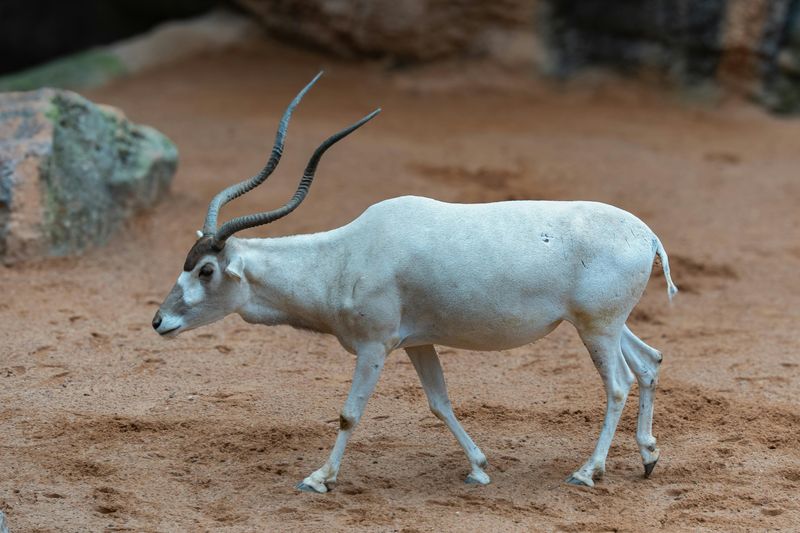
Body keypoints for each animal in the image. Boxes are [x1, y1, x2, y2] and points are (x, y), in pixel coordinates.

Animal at [152, 72, 676, 492]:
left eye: (206, 270)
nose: (159, 321)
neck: (345, 256)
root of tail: (647, 235)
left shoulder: (375, 345)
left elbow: (350, 412)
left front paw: (320, 478)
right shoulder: (418, 342)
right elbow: (440, 402)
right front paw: (479, 468)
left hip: (596, 328)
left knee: (619, 384)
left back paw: (588, 472)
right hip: (604, 323)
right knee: (649, 362)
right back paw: (648, 457)